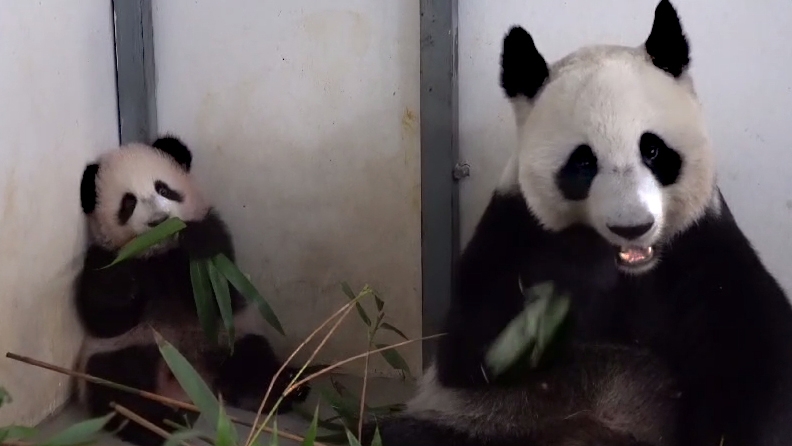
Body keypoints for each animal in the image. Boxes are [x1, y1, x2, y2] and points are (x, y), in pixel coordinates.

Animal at [73, 135, 311, 446]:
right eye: (128, 203)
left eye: (164, 189)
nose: (158, 220)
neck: (158, 252)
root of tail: (188, 385)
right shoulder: (101, 257)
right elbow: (104, 315)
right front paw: (124, 281)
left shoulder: (214, 234)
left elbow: (223, 293)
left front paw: (196, 242)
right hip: (129, 349)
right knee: (116, 385)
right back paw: (160, 422)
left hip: (226, 338)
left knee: (252, 359)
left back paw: (279, 392)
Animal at [362, 1, 792, 445]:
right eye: (583, 162)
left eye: (653, 150)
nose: (631, 226)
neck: (630, 271)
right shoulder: (513, 225)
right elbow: (473, 347)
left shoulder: (699, 243)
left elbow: (750, 349)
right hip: (489, 422)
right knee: (402, 433)